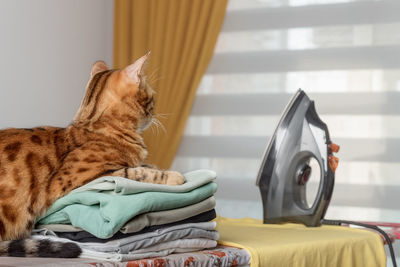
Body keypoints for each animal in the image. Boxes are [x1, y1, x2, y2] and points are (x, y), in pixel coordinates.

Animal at [0, 53, 185, 258]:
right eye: (152, 98)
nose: (155, 112)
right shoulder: (87, 178)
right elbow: (137, 172)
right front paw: (175, 176)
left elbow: (145, 166)